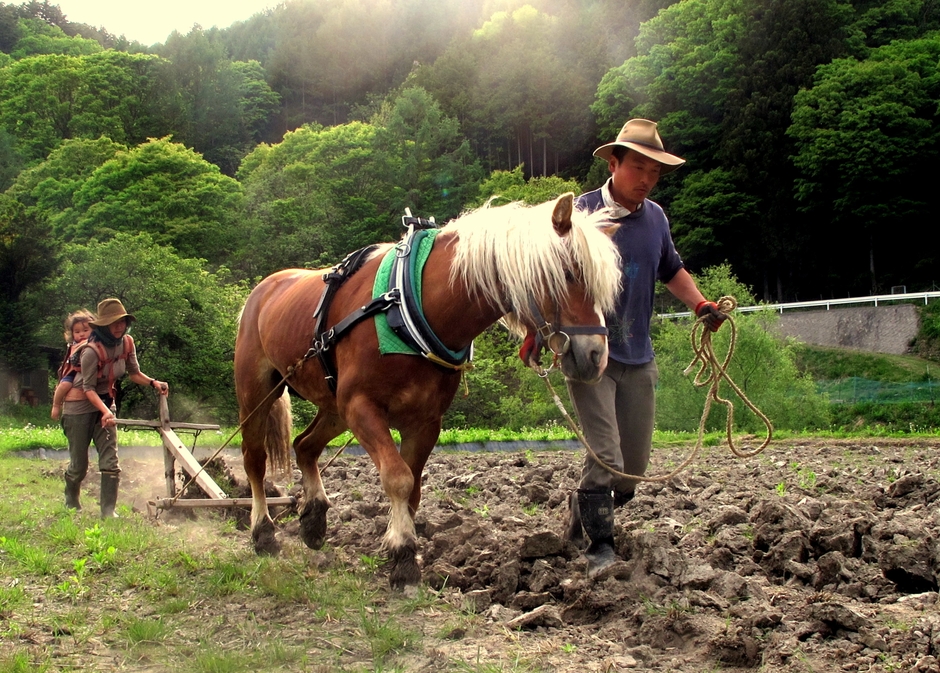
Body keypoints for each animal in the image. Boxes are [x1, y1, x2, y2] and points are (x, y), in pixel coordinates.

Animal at [233, 192, 621, 589]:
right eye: (569, 274)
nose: (596, 356)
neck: (409, 307)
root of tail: (265, 288)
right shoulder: (360, 406)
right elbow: (398, 478)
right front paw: (403, 553)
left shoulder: (425, 421)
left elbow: (414, 487)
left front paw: (403, 552)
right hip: (258, 392)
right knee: (255, 459)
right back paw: (263, 533)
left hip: (333, 407)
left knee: (305, 446)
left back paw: (313, 519)